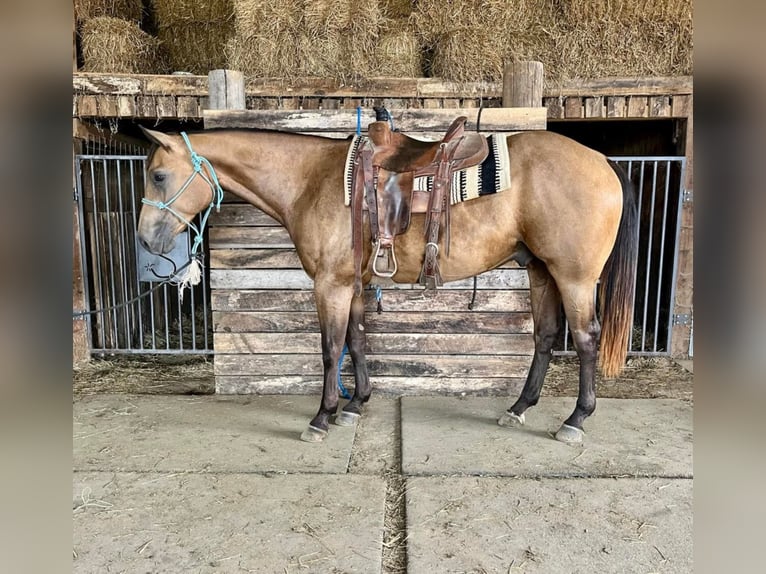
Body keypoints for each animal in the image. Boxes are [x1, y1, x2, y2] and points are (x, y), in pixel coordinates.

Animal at [140, 120, 640, 446]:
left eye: (159, 175)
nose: (146, 239)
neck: (310, 181)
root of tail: (602, 161)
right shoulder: (352, 284)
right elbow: (358, 340)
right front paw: (356, 405)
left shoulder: (330, 285)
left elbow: (331, 348)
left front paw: (322, 417)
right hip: (541, 271)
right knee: (546, 336)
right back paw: (518, 409)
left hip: (574, 278)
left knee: (586, 339)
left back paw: (575, 420)